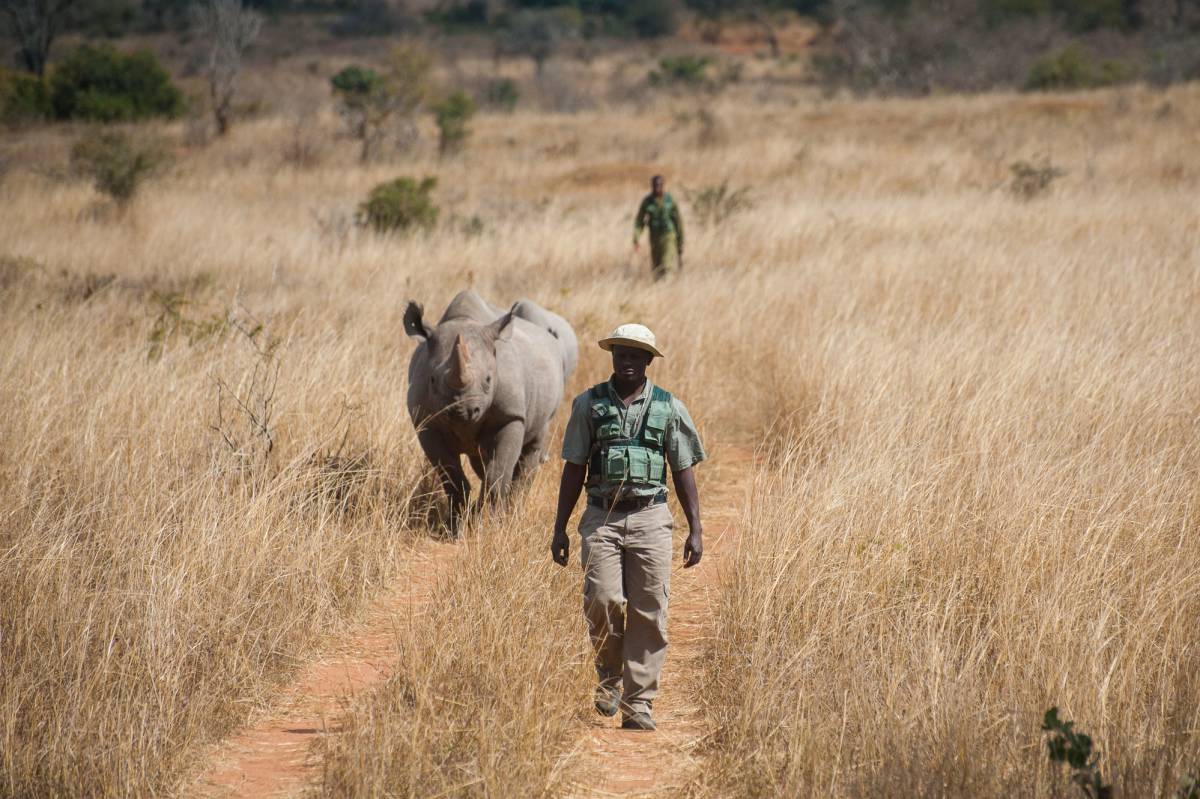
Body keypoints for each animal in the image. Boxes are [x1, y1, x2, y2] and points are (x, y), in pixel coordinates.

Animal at [403, 289, 577, 532]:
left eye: (488, 380)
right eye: (432, 380)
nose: (463, 411)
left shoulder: (510, 416)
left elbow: (497, 476)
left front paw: (493, 526)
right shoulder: (426, 422)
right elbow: (451, 477)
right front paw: (454, 528)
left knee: (530, 447)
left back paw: (513, 513)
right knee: (480, 460)